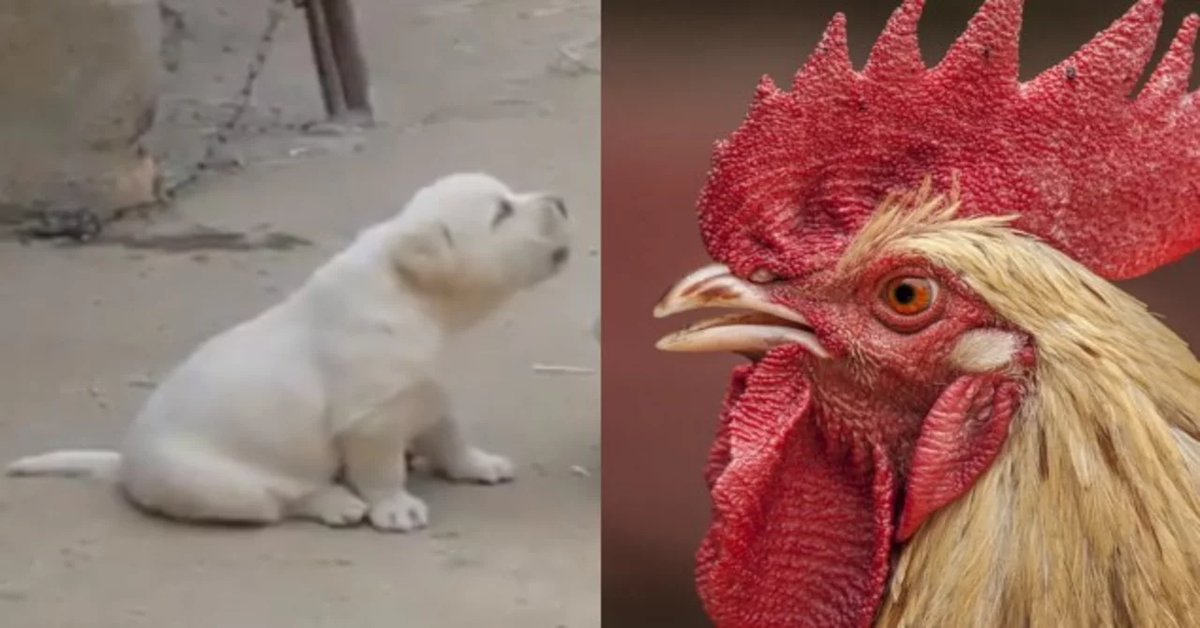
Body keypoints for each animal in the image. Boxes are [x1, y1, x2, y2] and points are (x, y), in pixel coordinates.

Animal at [5, 174, 571, 533]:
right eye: (501, 212)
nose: (562, 201)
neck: (413, 295)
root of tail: (125, 464)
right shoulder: (371, 422)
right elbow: (382, 470)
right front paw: (395, 508)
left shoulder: (424, 392)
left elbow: (449, 435)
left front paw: (478, 464)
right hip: (223, 487)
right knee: (285, 499)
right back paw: (338, 503)